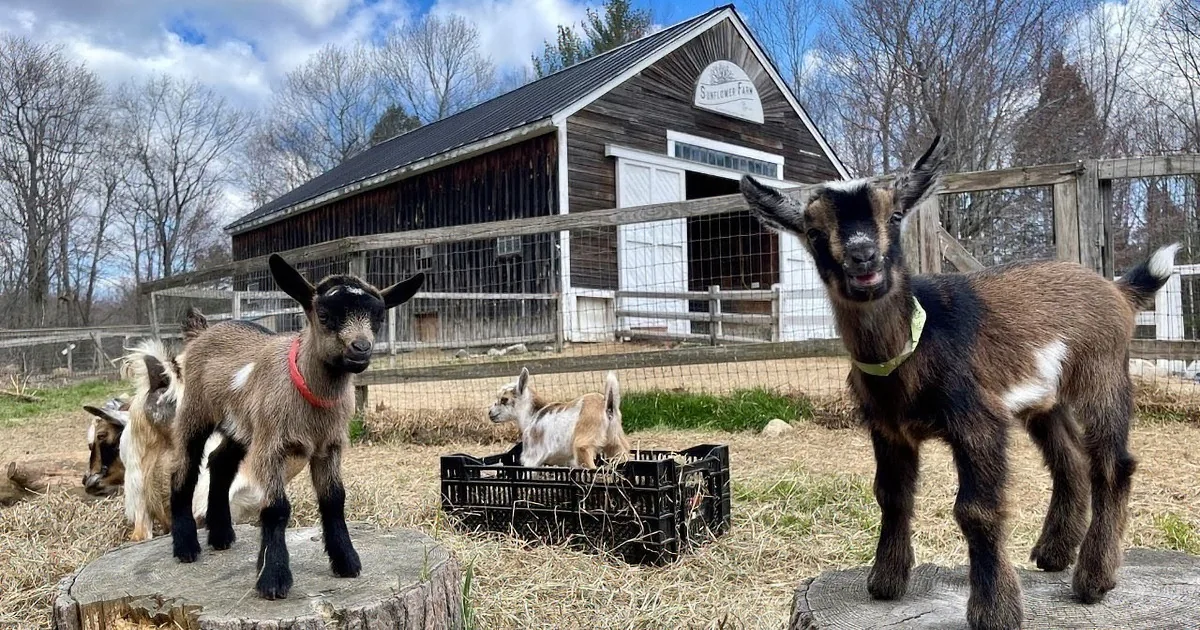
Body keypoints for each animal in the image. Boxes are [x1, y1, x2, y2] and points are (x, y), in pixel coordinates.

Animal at [168, 254, 424, 600]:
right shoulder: (272, 447)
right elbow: (276, 509)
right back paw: (185, 547)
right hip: (195, 410)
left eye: (379, 318)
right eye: (324, 315)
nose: (360, 348)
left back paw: (221, 535)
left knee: (220, 462)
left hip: (244, 426)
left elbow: (334, 500)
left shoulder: (329, 446)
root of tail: (203, 332)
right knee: (184, 468)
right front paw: (273, 578)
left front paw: (346, 561)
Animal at [488, 368, 629, 469]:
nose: (490, 413)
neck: (533, 415)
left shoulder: (531, 458)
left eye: (504, 399)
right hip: (615, 442)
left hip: (583, 446)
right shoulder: (566, 460)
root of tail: (607, 405)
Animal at [740, 135, 1177, 630]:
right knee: (1070, 460)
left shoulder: (977, 418)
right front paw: (884, 582)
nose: (862, 258)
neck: (915, 344)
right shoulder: (887, 428)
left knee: (1113, 463)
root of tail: (1116, 289)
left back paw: (1094, 579)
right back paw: (1053, 554)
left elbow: (975, 509)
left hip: (1103, 373)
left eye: (895, 216)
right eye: (813, 233)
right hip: (1045, 399)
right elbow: (890, 495)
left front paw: (995, 611)